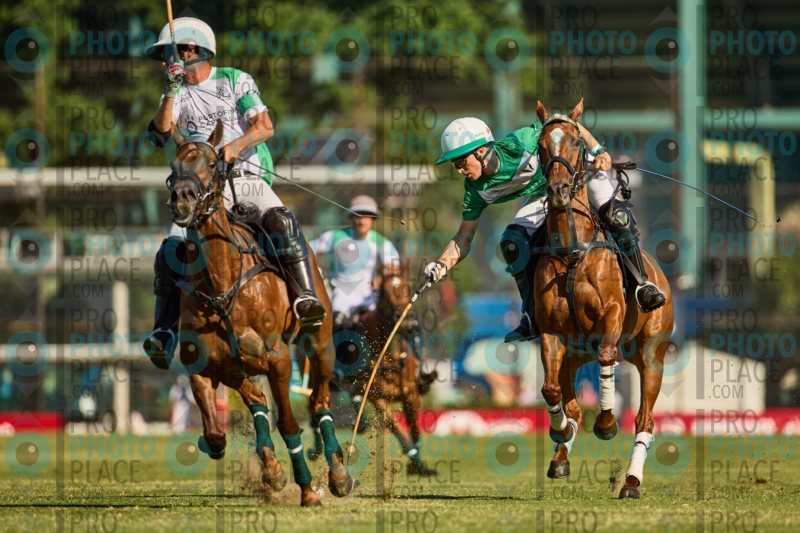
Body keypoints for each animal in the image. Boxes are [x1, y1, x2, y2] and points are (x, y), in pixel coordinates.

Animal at [165, 121, 353, 507]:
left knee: (319, 402)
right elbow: (216, 434)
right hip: (238, 367)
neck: (223, 285)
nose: (183, 199)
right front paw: (274, 472)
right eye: (173, 168)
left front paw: (308, 491)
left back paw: (338, 473)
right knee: (257, 400)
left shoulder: (278, 360)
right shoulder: (202, 368)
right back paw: (271, 469)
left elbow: (290, 425)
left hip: (320, 343)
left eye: (212, 163)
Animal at [310, 264, 438, 475]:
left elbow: (414, 429)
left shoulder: (411, 393)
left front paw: (418, 466)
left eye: (407, 288)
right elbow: (399, 429)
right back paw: (316, 450)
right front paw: (414, 461)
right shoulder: (378, 397)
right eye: (384, 293)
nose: (408, 322)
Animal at [531, 100, 674, 499]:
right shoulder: (550, 331)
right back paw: (561, 452)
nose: (559, 189)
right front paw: (560, 430)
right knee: (571, 399)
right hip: (575, 352)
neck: (572, 250)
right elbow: (549, 388)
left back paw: (631, 482)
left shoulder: (611, 314)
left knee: (645, 420)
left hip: (651, 354)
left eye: (578, 143)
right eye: (541, 144)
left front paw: (608, 423)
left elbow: (608, 359)